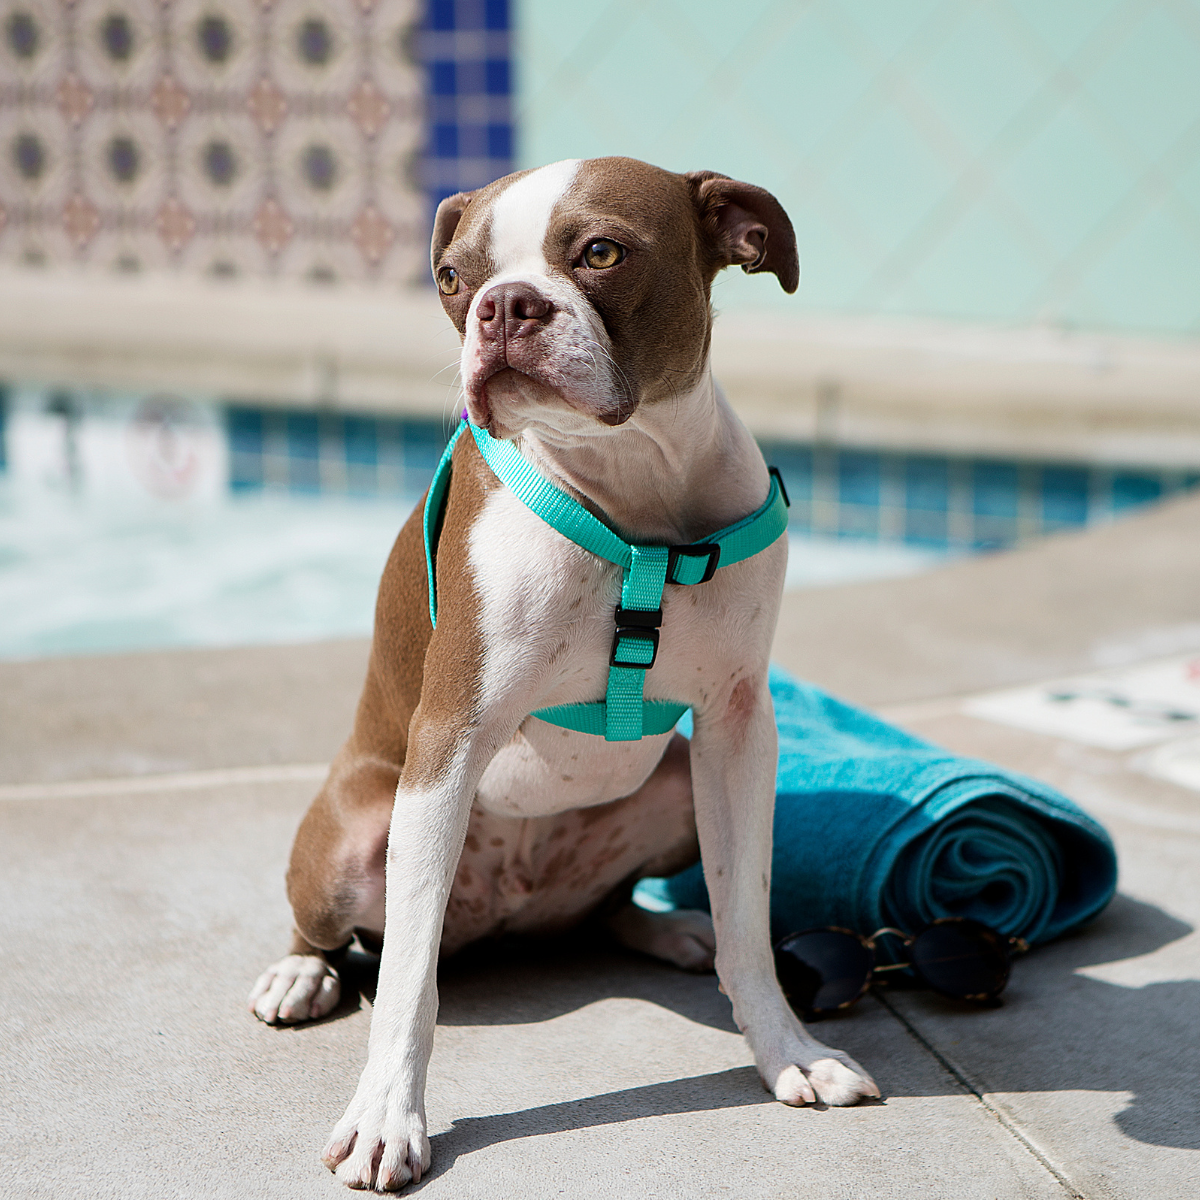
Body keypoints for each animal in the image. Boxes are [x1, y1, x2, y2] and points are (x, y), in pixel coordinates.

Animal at [246, 157, 883, 1190]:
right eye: (453, 277)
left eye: (601, 252)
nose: (503, 305)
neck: (634, 488)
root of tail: (510, 911)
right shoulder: (450, 735)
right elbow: (408, 984)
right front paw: (387, 1118)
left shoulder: (740, 730)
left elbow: (748, 922)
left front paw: (789, 1052)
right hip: (357, 835)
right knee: (341, 932)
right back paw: (302, 972)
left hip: (674, 789)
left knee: (609, 908)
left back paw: (665, 929)